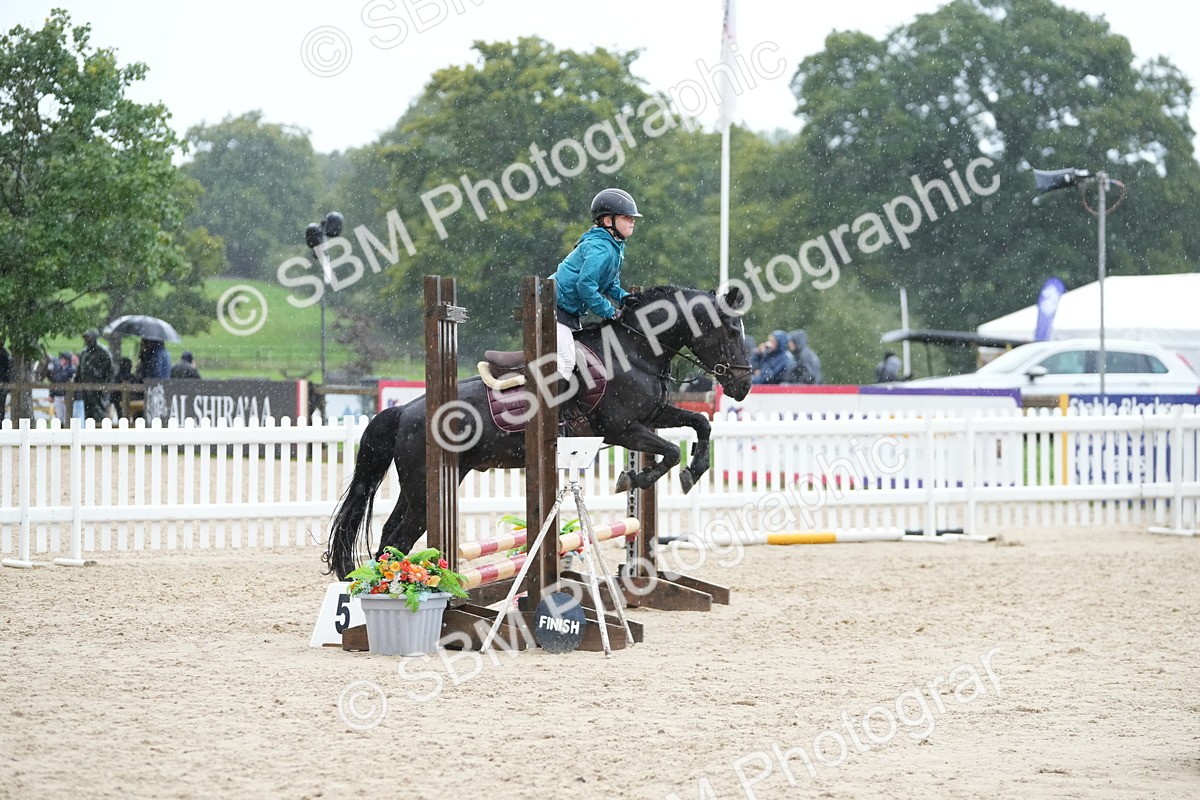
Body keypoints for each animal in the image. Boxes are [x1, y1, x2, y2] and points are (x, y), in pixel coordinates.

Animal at [323, 284, 752, 579]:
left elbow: (701, 424)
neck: (637, 350)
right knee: (398, 539)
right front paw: (635, 477)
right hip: (426, 487)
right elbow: (671, 452)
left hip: (424, 486)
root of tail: (404, 412)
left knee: (390, 537)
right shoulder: (624, 429)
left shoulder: (653, 416)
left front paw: (694, 470)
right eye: (732, 331)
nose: (743, 387)